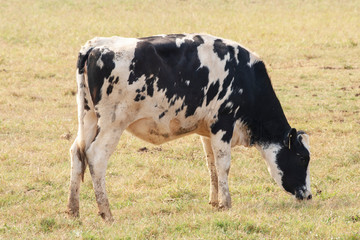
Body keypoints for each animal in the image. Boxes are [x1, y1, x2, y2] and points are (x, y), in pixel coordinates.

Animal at [67, 33, 312, 221]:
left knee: (77, 152)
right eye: (302, 158)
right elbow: (224, 165)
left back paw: (73, 210)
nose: (309, 195)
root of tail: (96, 46)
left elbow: (212, 165)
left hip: (88, 118)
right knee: (96, 157)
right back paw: (106, 213)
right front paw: (226, 203)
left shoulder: (208, 131)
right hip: (112, 124)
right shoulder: (223, 124)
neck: (245, 77)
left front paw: (214, 201)